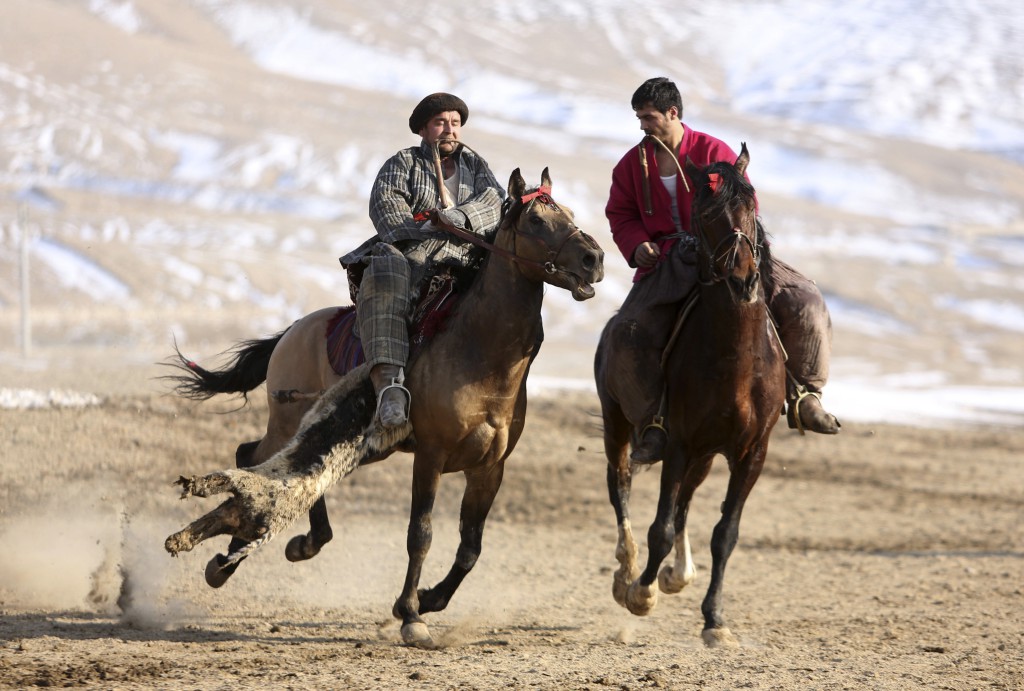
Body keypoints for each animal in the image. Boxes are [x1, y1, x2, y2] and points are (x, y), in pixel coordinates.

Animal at [163, 167, 602, 646]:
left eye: (570, 212)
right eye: (538, 220)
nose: (594, 258)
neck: (480, 352)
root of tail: (293, 331)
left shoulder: (489, 467)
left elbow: (470, 547)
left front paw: (428, 600)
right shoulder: (430, 457)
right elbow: (420, 535)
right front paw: (411, 615)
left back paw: (289, 546)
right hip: (291, 426)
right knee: (252, 460)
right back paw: (235, 558)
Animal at [593, 144, 782, 646]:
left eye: (751, 204)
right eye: (706, 213)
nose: (743, 280)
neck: (735, 361)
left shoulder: (750, 453)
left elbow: (725, 533)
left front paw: (714, 620)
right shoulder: (677, 442)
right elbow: (658, 527)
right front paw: (640, 594)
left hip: (706, 454)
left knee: (686, 503)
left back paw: (678, 573)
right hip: (619, 422)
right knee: (620, 482)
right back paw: (627, 572)